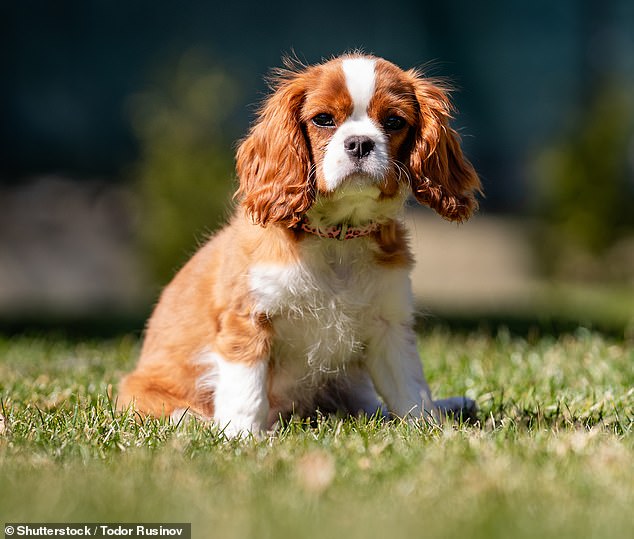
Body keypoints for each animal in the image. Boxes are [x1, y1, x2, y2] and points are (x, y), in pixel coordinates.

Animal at [118, 52, 478, 436]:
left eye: (394, 121)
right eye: (323, 119)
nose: (360, 143)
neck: (337, 236)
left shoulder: (389, 327)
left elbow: (411, 389)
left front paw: (433, 431)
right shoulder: (246, 321)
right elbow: (246, 391)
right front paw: (244, 437)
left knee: (371, 408)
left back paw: (454, 405)